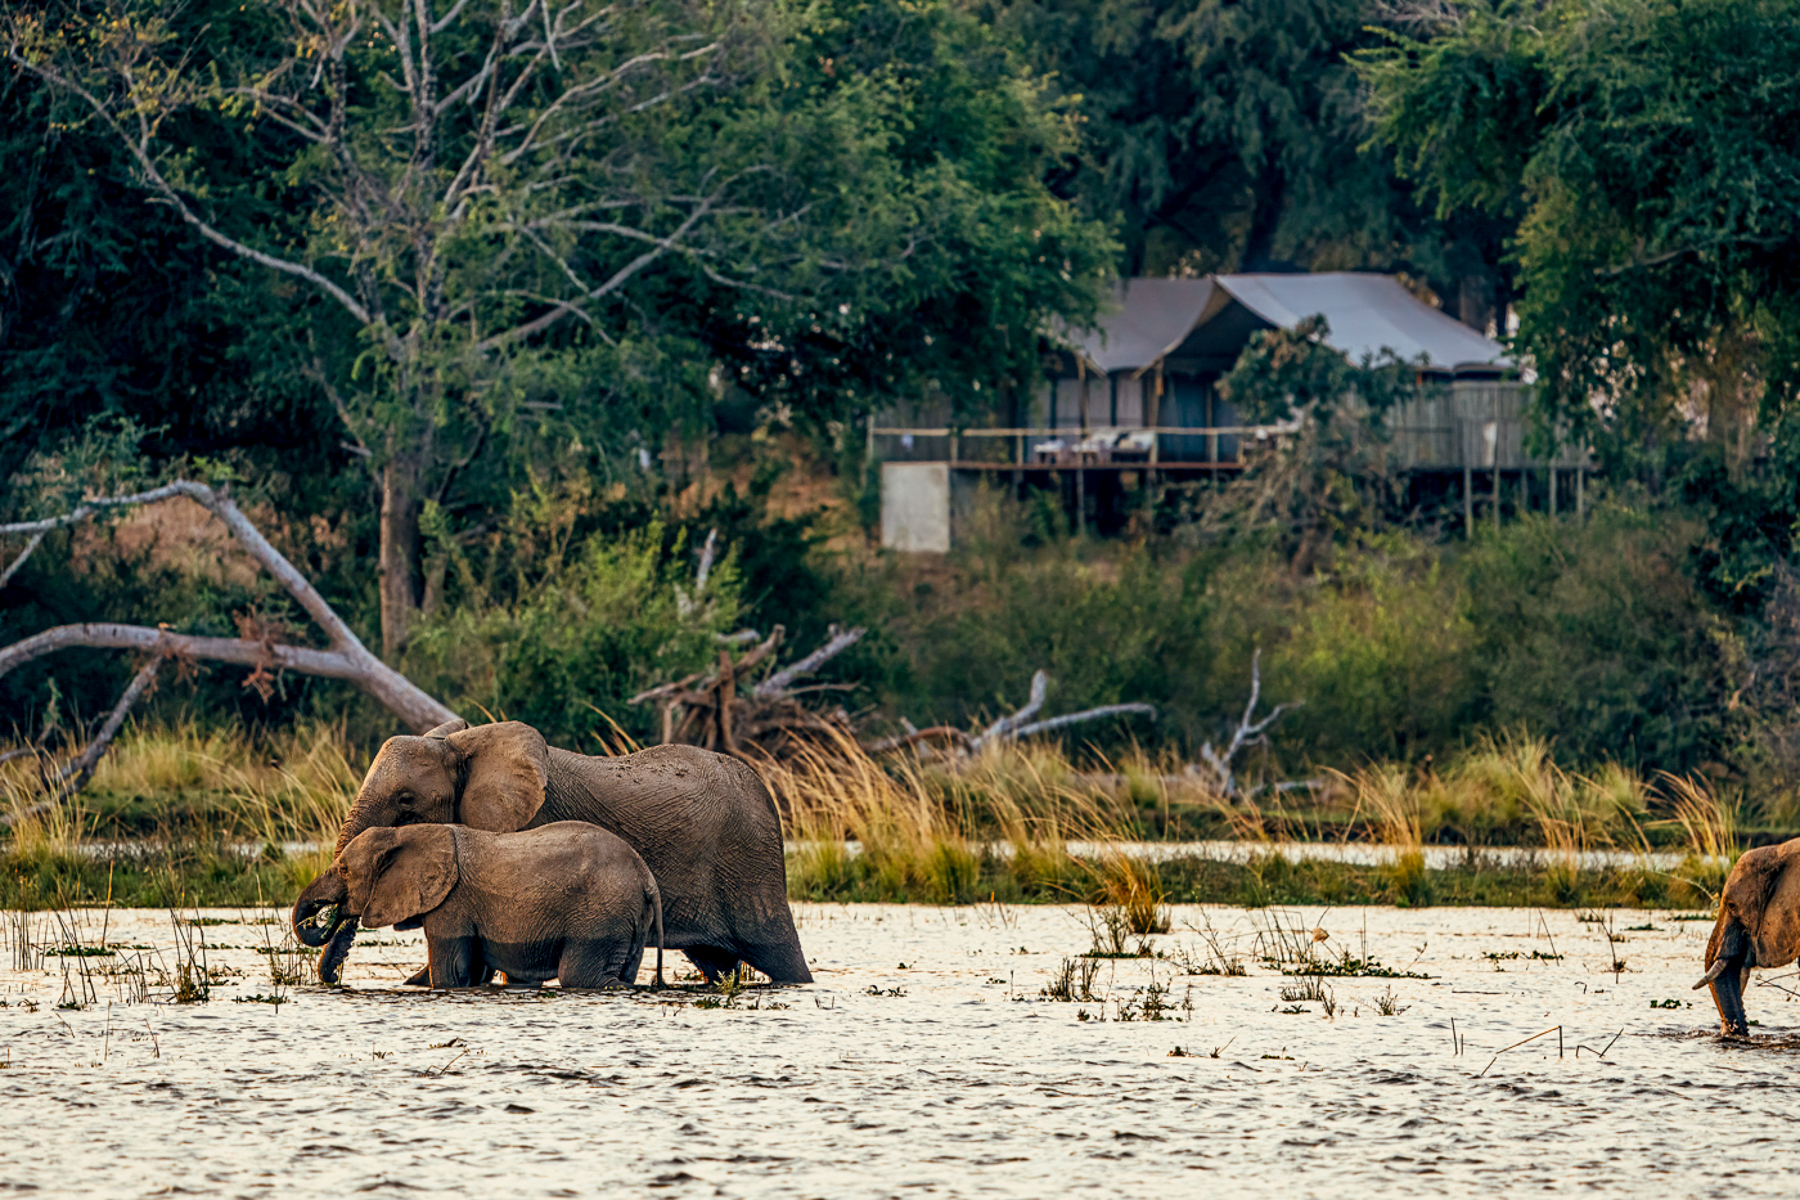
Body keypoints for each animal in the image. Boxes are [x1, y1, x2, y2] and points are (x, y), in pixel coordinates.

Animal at [327, 821, 664, 989]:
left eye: (343, 870)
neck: (406, 833)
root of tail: (646, 876)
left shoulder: (452, 903)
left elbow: (452, 972)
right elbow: (471, 969)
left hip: (601, 913)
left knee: (578, 975)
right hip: (630, 915)